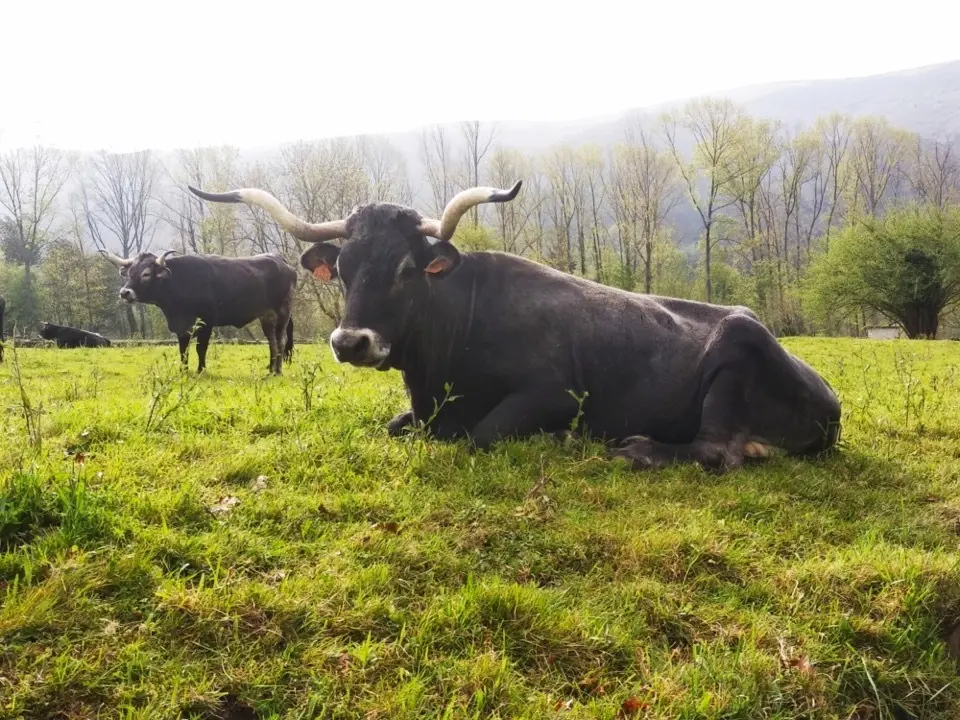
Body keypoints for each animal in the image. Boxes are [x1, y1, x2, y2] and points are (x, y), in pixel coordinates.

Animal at [99, 249, 297, 374]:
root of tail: (283, 261)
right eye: (130, 272)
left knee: (280, 341)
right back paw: (270, 368)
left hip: (282, 313)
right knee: (272, 343)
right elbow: (183, 349)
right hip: (266, 318)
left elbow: (201, 348)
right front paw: (183, 370)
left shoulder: (206, 322)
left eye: (146, 273)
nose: (125, 292)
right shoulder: (181, 326)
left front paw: (201, 370)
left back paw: (277, 371)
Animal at [188, 182, 842, 473]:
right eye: (343, 270)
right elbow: (396, 426)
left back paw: (637, 448)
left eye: (405, 269)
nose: (351, 342)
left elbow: (482, 434)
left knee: (715, 451)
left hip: (736, 348)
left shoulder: (555, 394)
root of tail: (830, 398)